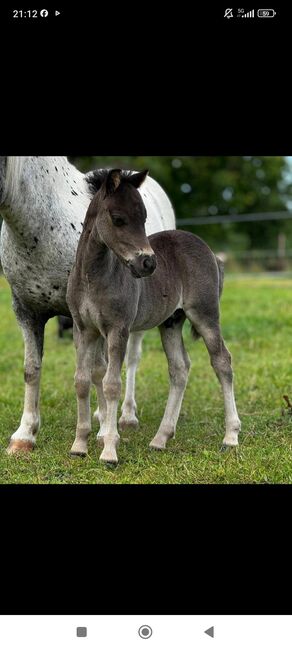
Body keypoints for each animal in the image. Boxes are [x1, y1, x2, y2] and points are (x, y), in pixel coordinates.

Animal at [67, 167, 241, 460]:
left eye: (145, 218)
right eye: (118, 219)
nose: (148, 263)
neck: (93, 277)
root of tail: (209, 251)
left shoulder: (118, 329)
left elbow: (111, 384)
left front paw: (109, 450)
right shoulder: (84, 330)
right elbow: (81, 381)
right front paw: (79, 445)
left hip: (205, 315)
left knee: (222, 361)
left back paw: (230, 436)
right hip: (171, 322)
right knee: (180, 368)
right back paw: (161, 438)